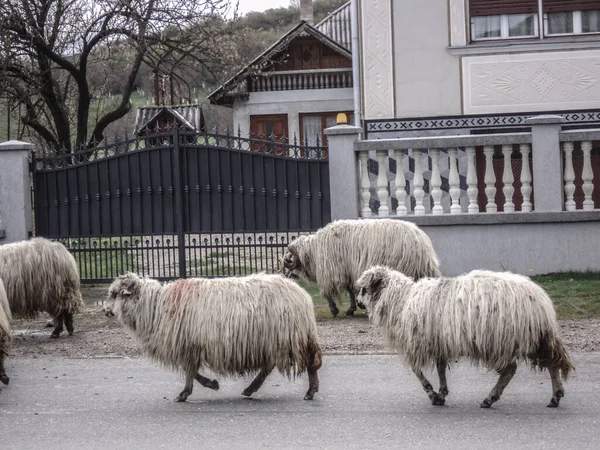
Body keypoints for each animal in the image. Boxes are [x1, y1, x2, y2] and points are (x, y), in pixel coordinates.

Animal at [103, 272, 324, 402]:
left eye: (116, 294)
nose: (104, 310)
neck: (156, 306)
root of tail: (302, 294)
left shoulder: (188, 345)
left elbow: (190, 371)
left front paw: (189, 392)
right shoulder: (191, 346)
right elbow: (192, 371)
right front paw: (205, 386)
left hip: (289, 336)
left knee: (310, 363)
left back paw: (310, 391)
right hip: (274, 339)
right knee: (269, 366)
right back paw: (250, 389)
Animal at [282, 218, 440, 316]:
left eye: (291, 260)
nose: (286, 277)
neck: (313, 251)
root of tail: (421, 239)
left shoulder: (332, 273)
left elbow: (328, 293)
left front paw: (334, 309)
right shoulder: (347, 272)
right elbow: (350, 290)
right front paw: (352, 308)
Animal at [354, 266, 576, 410]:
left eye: (364, 289)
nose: (358, 303)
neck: (401, 300)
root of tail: (540, 301)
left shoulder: (417, 345)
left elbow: (418, 372)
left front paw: (432, 394)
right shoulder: (438, 342)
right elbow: (441, 368)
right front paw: (442, 393)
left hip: (499, 339)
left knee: (510, 370)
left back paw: (490, 398)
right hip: (536, 336)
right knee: (552, 363)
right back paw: (555, 396)